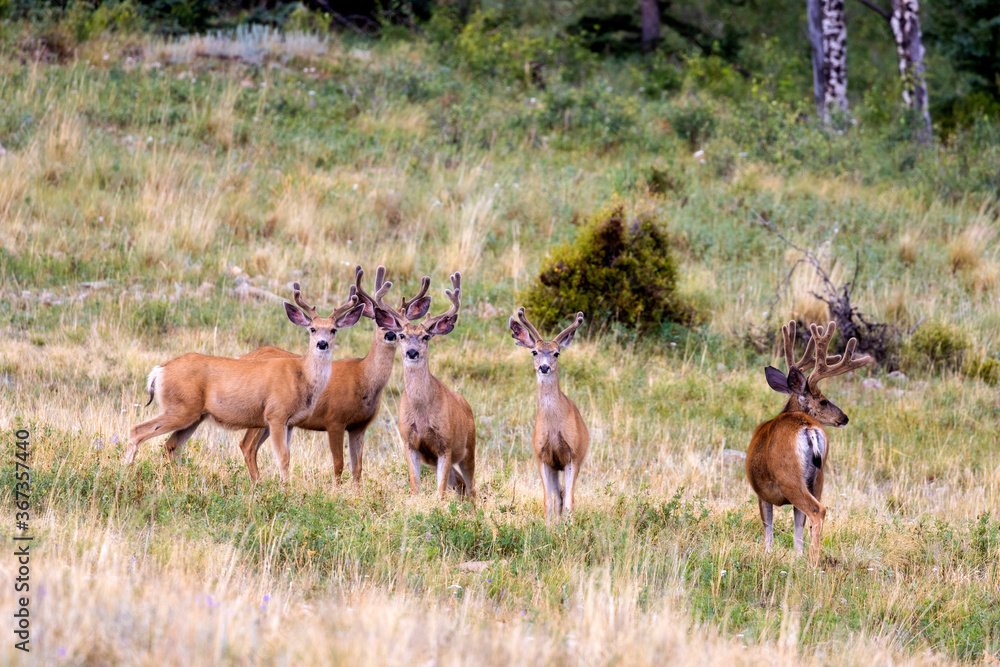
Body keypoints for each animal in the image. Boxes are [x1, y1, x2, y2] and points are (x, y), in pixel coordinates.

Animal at [124, 281, 366, 483]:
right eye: (312, 329)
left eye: (333, 330)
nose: (322, 344)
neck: (301, 376)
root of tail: (159, 371)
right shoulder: (275, 415)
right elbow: (283, 458)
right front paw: (284, 491)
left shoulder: (290, 422)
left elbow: (287, 457)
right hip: (180, 408)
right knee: (137, 430)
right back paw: (126, 471)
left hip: (194, 416)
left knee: (171, 446)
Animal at [236, 266, 433, 485]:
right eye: (378, 319)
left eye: (402, 327)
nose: (390, 334)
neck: (362, 378)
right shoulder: (334, 419)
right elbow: (338, 464)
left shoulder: (359, 426)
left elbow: (358, 468)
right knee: (247, 445)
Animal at [372, 272, 476, 501]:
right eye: (401, 335)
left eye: (426, 336)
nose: (412, 352)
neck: (422, 413)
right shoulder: (409, 442)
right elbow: (415, 485)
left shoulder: (446, 443)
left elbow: (440, 491)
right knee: (460, 484)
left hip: (469, 447)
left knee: (472, 487)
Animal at [509, 308, 589, 523]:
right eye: (534, 352)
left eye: (556, 353)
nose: (544, 367)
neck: (554, 428)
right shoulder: (542, 457)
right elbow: (548, 501)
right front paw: (548, 527)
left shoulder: (573, 456)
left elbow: (570, 501)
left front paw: (568, 528)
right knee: (558, 496)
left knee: (565, 495)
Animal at [746, 320, 872, 565]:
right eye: (823, 401)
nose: (844, 418)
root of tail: (808, 427)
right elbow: (797, 531)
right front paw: (797, 558)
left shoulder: (761, 493)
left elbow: (768, 530)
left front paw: (768, 555)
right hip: (819, 477)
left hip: (788, 477)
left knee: (817, 510)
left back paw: (813, 563)